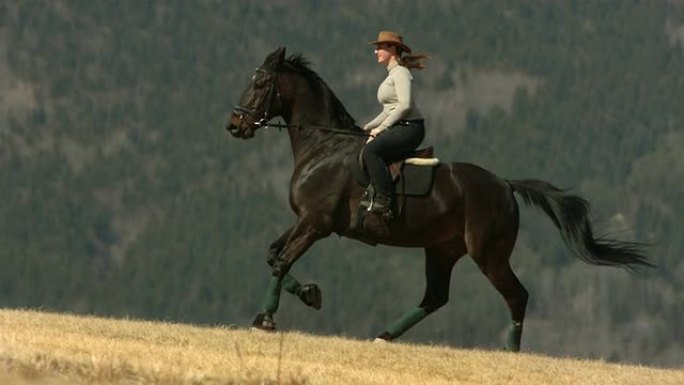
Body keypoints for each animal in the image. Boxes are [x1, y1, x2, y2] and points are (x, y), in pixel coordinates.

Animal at [226, 46, 652, 350]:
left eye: (260, 82)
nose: (234, 125)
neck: (324, 146)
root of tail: (505, 184)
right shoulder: (305, 220)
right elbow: (272, 255)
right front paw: (311, 295)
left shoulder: (316, 223)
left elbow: (282, 260)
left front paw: (265, 320)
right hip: (442, 249)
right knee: (435, 297)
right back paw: (384, 337)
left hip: (488, 254)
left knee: (517, 295)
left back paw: (509, 353)